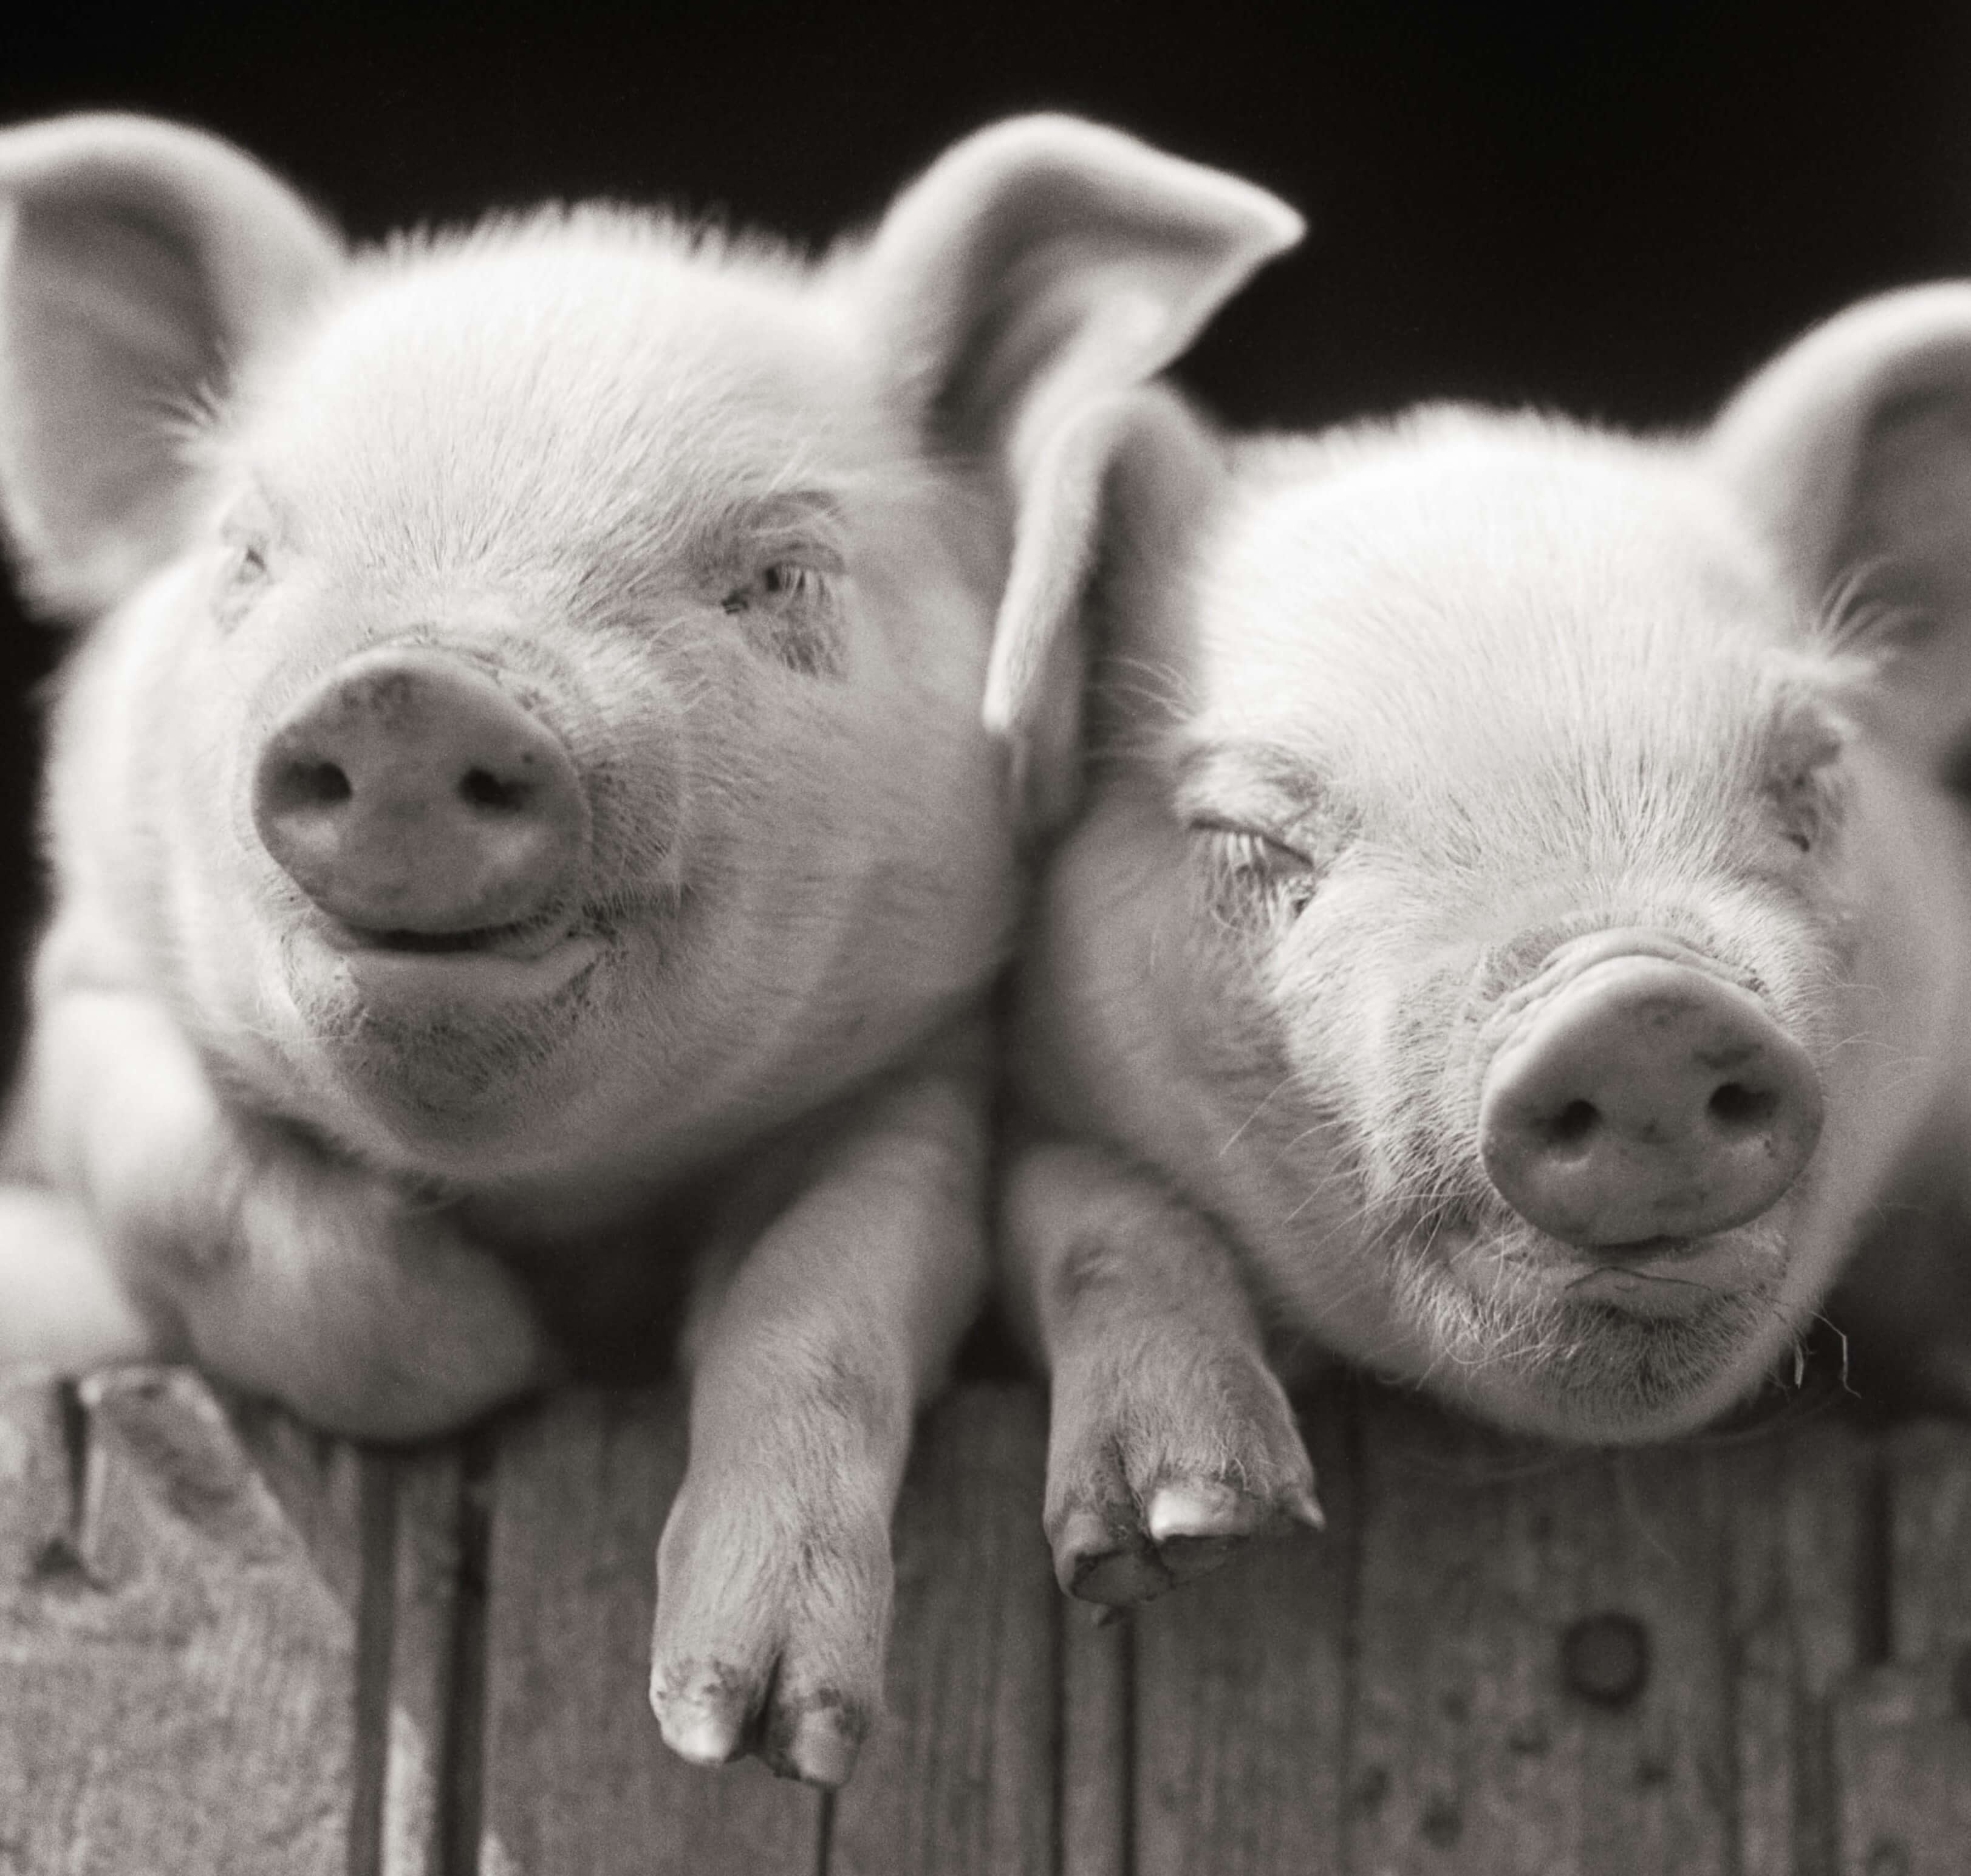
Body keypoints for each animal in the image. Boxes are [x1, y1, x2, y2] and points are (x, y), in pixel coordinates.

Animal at [0, 111, 1303, 1777]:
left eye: (783, 572)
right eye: (245, 555)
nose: (412, 692)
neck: (568, 1209)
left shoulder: (908, 1077)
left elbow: (826, 1297)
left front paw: (748, 1731)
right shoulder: (88, 999)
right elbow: (198, 1191)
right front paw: (497, 1355)